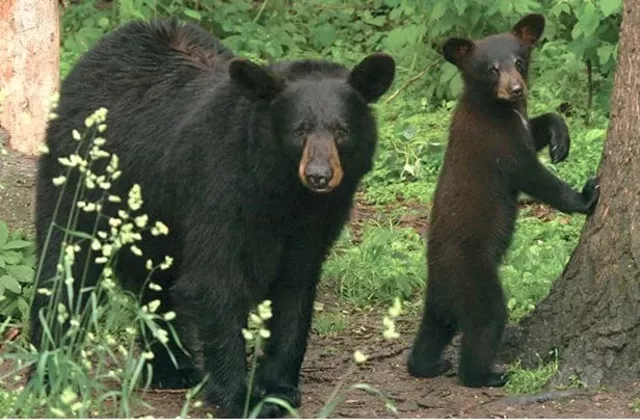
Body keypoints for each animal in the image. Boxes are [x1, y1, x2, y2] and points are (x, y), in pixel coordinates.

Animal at [30, 17, 395, 417]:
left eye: (341, 130)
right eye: (299, 130)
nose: (319, 176)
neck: (281, 190)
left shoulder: (318, 221)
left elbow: (295, 289)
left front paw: (278, 389)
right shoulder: (219, 189)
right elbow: (215, 282)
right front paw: (239, 396)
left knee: (156, 283)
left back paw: (172, 369)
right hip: (83, 176)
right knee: (66, 260)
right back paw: (49, 367)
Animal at [406, 13, 600, 388]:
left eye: (519, 61)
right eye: (491, 69)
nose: (516, 89)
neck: (498, 108)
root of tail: (436, 270)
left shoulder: (517, 124)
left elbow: (539, 127)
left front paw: (560, 139)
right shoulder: (497, 143)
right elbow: (534, 177)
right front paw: (586, 196)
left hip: (442, 294)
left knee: (436, 325)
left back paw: (427, 365)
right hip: (474, 273)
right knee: (487, 319)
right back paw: (486, 374)